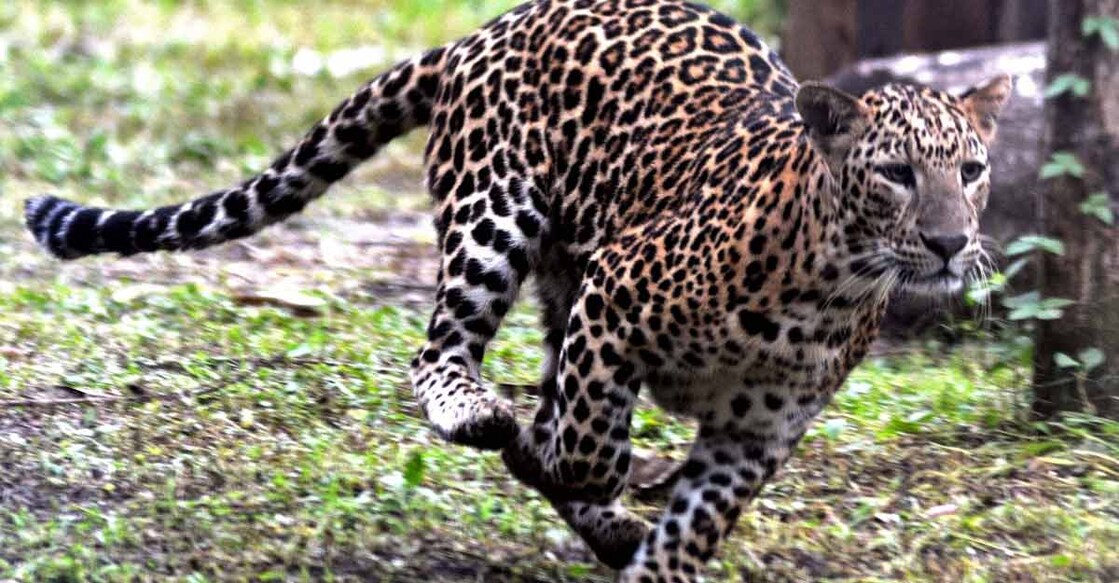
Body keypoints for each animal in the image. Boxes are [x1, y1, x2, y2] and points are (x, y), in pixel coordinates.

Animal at [24, 0, 1012, 580]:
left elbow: (690, 523)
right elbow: (585, 439)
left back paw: (599, 520)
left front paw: (642, 545)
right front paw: (560, 461)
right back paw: (483, 418)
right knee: (439, 353)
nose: (949, 242)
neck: (830, 288)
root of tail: (482, 32)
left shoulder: (755, 432)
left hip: (556, 276)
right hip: (495, 221)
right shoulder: (617, 291)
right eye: (892, 173)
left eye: (970, 170)